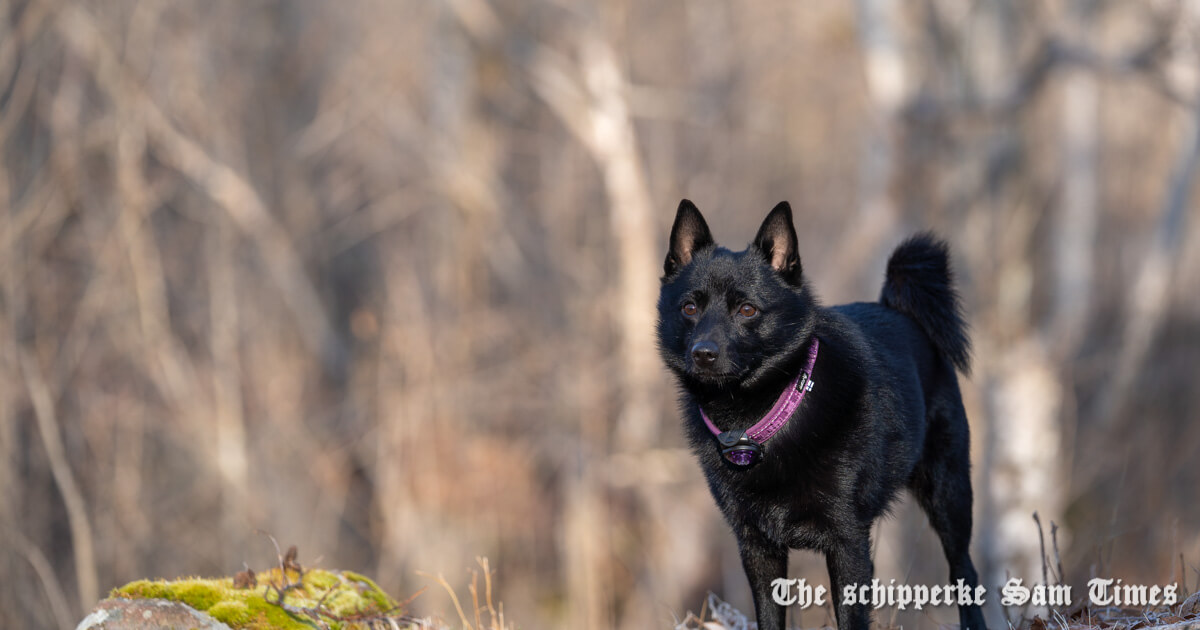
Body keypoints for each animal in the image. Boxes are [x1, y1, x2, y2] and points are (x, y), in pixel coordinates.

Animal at [657, 200, 984, 628]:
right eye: (690, 307)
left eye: (747, 309)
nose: (703, 354)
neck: (762, 418)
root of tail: (897, 308)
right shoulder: (757, 548)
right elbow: (769, 617)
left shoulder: (849, 544)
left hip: (949, 494)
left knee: (965, 571)